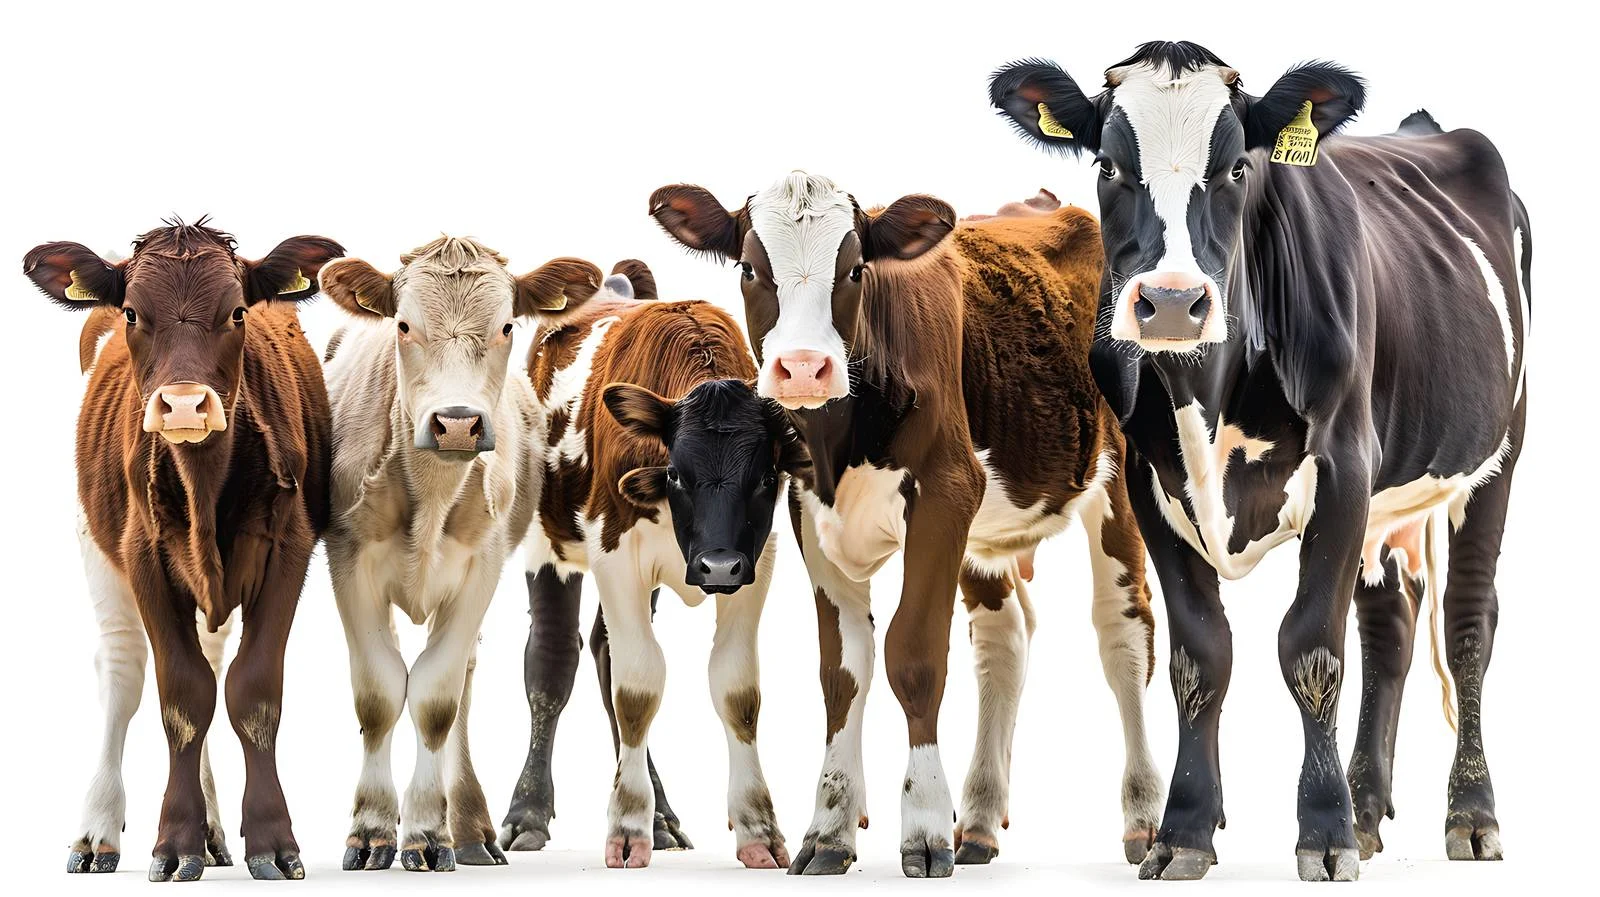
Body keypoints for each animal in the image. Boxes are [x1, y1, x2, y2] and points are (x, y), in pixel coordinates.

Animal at [26, 219, 341, 881]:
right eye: (132, 312)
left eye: (238, 311)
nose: (185, 405)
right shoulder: (142, 554)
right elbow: (182, 695)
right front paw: (174, 842)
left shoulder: (290, 549)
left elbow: (250, 689)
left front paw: (269, 840)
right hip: (94, 542)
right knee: (122, 671)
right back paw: (97, 833)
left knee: (213, 662)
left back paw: (215, 833)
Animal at [318, 236, 602, 873]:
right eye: (403, 325)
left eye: (506, 326)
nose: (455, 423)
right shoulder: (349, 561)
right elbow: (378, 693)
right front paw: (372, 830)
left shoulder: (482, 567)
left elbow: (436, 698)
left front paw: (428, 832)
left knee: (460, 681)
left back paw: (469, 826)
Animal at [499, 264, 808, 869]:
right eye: (677, 475)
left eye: (765, 477)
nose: (716, 566)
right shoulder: (614, 553)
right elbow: (638, 686)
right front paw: (627, 828)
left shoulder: (755, 562)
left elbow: (736, 691)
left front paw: (758, 831)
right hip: (547, 543)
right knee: (552, 658)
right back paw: (528, 813)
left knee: (603, 654)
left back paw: (663, 816)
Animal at [650, 172, 1163, 878]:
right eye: (751, 268)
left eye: (855, 269)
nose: (804, 367)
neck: (844, 438)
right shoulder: (810, 508)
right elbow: (842, 673)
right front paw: (831, 830)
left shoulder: (947, 493)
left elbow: (914, 657)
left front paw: (922, 826)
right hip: (987, 531)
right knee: (1004, 638)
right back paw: (979, 821)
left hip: (1118, 480)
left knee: (1124, 630)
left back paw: (1143, 818)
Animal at [991, 40, 1530, 881]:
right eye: (1108, 166)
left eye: (1238, 169)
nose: (1171, 303)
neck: (1205, 392)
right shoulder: (1150, 484)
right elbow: (1200, 656)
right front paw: (1185, 829)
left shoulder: (1344, 470)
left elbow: (1311, 647)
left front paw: (1323, 831)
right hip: (1389, 502)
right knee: (1391, 625)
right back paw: (1367, 807)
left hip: (1496, 451)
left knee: (1468, 620)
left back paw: (1469, 815)